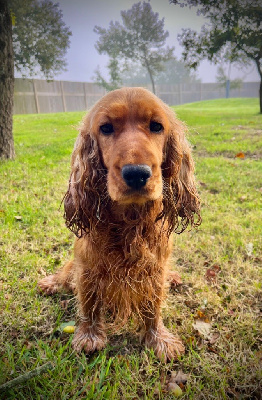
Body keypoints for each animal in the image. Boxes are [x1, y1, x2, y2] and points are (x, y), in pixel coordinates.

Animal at [38, 87, 201, 362]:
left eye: (156, 126)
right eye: (106, 128)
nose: (136, 174)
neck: (129, 221)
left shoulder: (154, 269)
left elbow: (153, 305)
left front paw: (159, 339)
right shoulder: (88, 264)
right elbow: (89, 302)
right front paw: (89, 335)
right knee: (66, 273)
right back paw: (50, 283)